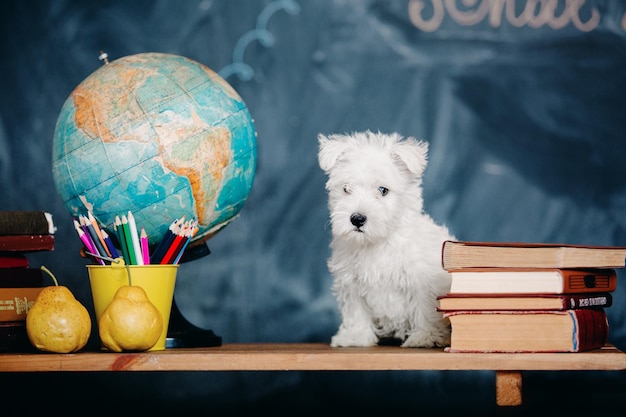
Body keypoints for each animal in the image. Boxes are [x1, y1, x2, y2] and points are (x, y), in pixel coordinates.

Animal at [320, 130, 450, 348]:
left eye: (383, 190)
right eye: (346, 188)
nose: (357, 218)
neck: (378, 241)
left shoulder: (422, 281)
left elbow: (424, 308)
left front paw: (425, 337)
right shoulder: (351, 281)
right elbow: (356, 311)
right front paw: (355, 336)